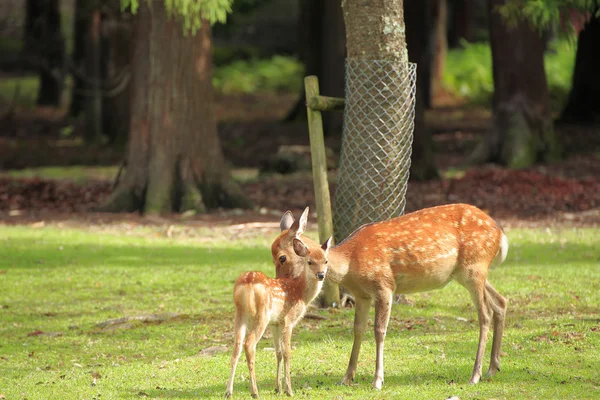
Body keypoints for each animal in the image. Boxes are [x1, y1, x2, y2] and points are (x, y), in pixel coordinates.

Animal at [225, 233, 332, 398]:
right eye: (310, 262)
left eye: (325, 261)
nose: (321, 275)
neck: (301, 293)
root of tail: (247, 283)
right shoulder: (288, 319)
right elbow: (287, 352)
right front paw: (289, 390)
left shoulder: (275, 323)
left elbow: (278, 352)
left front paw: (278, 388)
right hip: (262, 314)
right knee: (249, 344)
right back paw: (254, 392)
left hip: (240, 314)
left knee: (236, 347)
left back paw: (228, 392)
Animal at [274, 205, 510, 390]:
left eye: (282, 258)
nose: (279, 284)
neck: (351, 262)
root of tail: (501, 235)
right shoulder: (361, 295)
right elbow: (358, 330)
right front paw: (346, 377)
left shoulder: (384, 286)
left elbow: (379, 331)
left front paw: (377, 380)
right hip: (468, 273)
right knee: (500, 302)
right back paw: (493, 368)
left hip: (475, 267)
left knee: (485, 314)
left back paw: (475, 375)